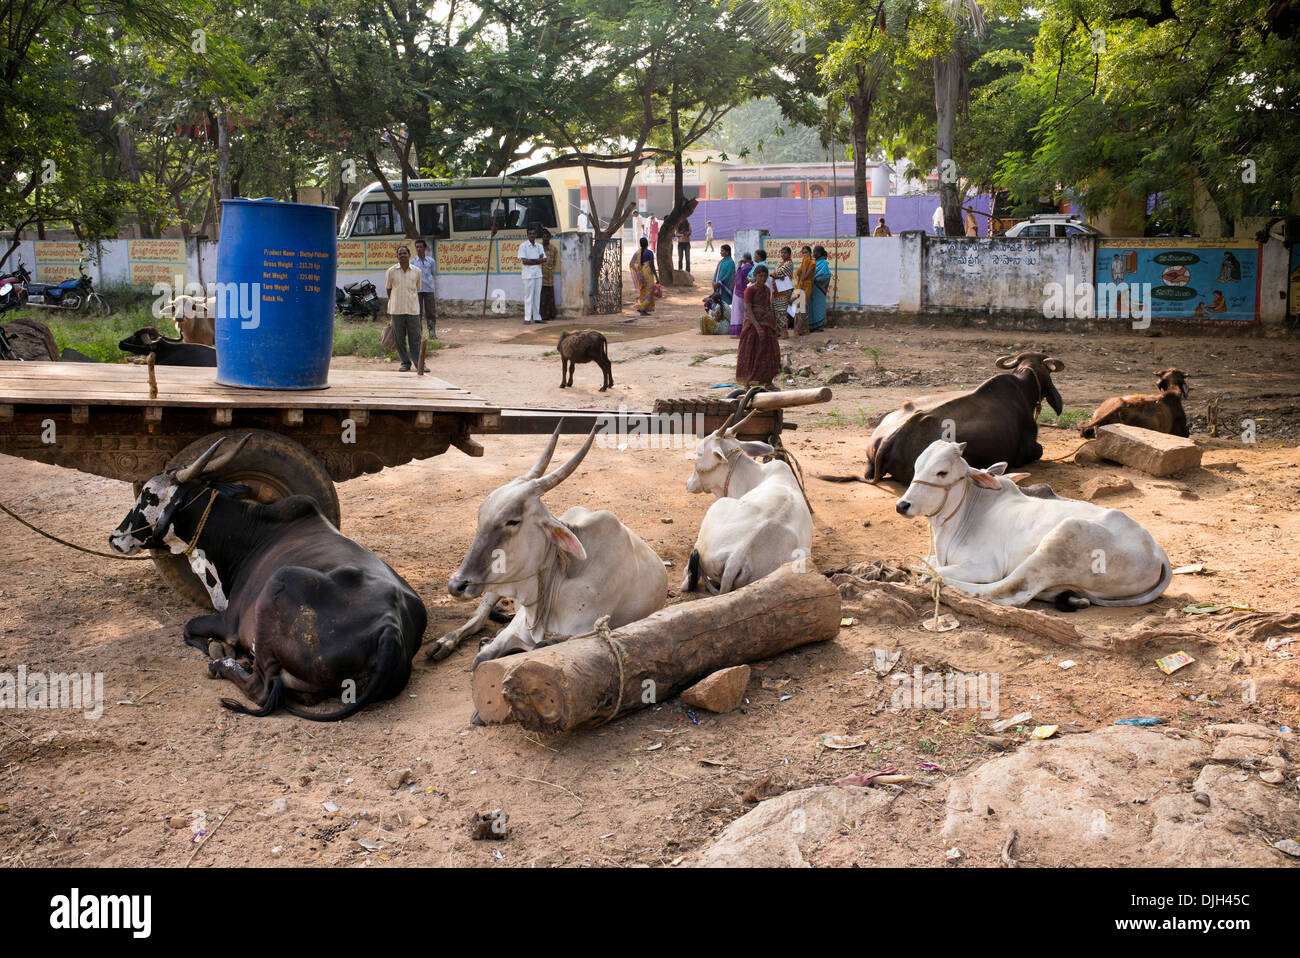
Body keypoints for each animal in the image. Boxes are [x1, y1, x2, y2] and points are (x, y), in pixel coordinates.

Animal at [108, 434, 426, 717]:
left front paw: (218, 649)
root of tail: (389, 628)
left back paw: (224, 666)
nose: (115, 537)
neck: (248, 534)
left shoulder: (229, 621)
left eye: (149, 495)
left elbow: (189, 628)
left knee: (260, 688)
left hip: (276, 588)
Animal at [439, 423, 665, 665]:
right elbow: (480, 659)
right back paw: (446, 641)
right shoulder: (515, 630)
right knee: (480, 615)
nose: (456, 585)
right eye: (481, 514)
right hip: (494, 586)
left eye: (513, 521)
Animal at [899, 439, 1175, 608]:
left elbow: (933, 569)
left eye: (941, 472)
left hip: (1064, 538)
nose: (902, 505)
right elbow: (924, 562)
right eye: (916, 467)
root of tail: (1157, 551)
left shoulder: (984, 566)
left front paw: (927, 574)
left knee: (1010, 592)